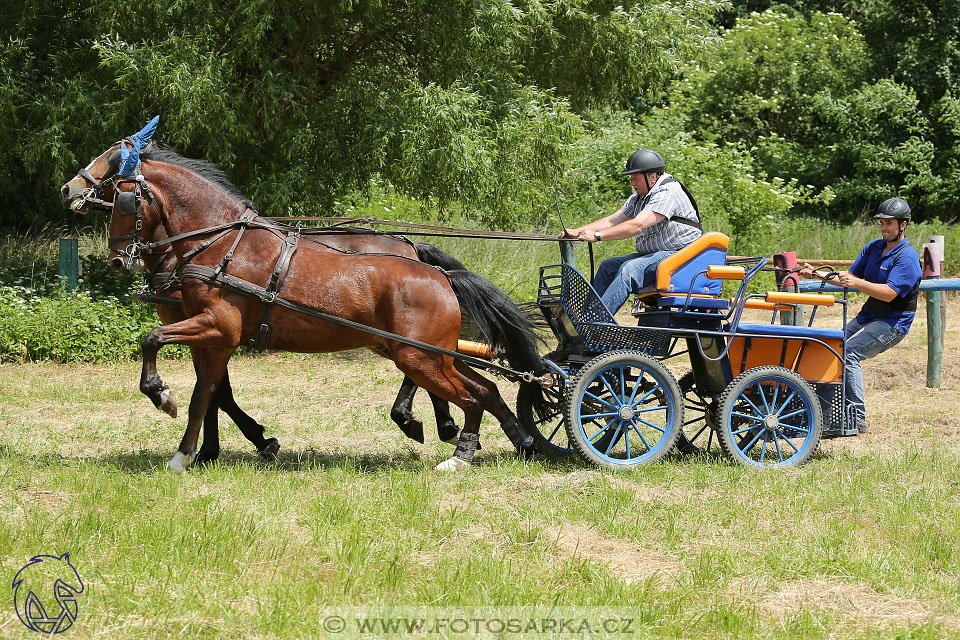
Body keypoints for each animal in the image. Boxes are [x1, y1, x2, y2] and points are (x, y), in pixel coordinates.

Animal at [62, 130, 548, 472]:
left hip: (418, 356)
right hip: (427, 354)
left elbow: (163, 350)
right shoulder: (214, 337)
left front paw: (168, 404)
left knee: (469, 396)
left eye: (122, 193)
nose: (68, 190)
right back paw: (518, 439)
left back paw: (456, 446)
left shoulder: (217, 327)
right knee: (484, 389)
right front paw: (202, 451)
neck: (217, 243)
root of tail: (436, 272)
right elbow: (210, 392)